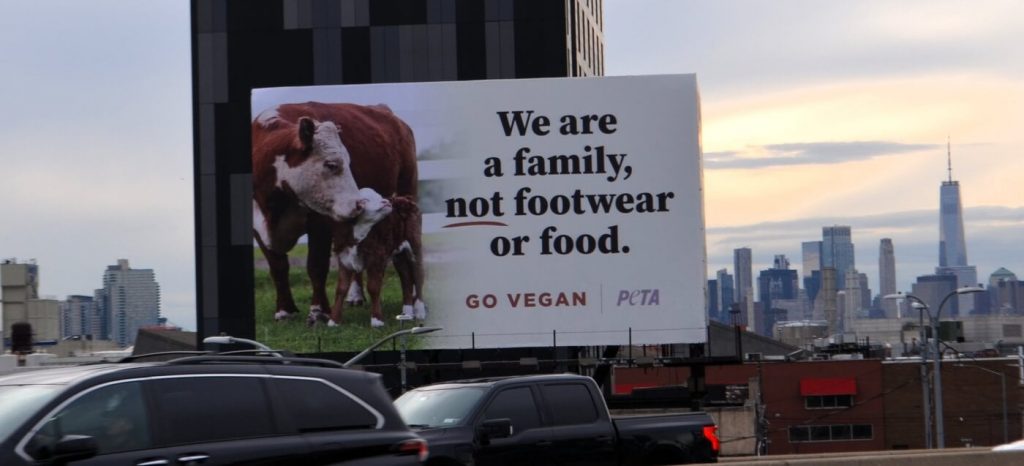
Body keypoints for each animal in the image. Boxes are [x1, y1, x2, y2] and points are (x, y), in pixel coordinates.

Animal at [251, 101, 415, 323]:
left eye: (349, 162)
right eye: (331, 164)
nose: (358, 204)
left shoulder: (320, 223)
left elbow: (316, 266)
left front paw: (318, 311)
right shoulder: (258, 228)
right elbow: (278, 267)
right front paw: (284, 310)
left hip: (408, 188)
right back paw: (355, 296)